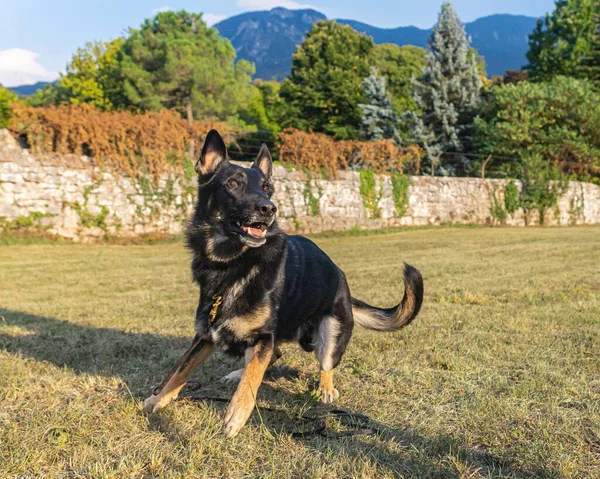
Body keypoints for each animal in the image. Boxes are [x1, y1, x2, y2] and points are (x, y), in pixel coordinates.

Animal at [143, 129, 424, 436]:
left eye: (267, 188)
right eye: (233, 184)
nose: (269, 208)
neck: (231, 263)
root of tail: (342, 279)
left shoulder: (263, 336)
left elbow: (252, 379)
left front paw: (236, 415)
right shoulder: (206, 335)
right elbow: (179, 370)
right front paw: (157, 399)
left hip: (330, 333)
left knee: (324, 365)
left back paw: (326, 389)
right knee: (272, 355)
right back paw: (237, 372)